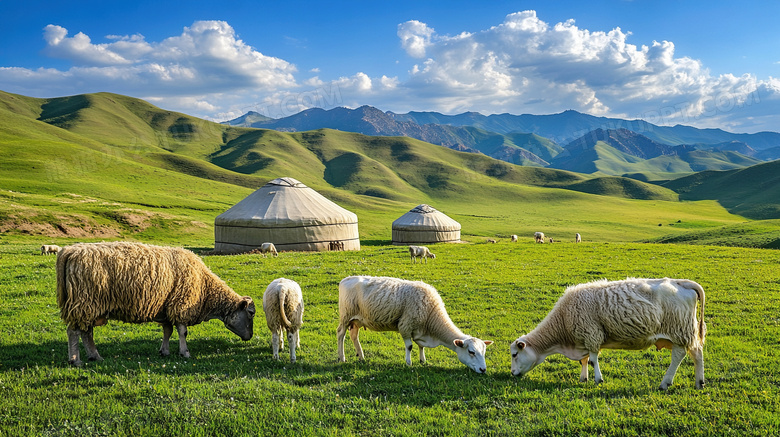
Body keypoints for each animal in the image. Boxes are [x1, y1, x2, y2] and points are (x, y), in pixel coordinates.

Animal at [56, 240, 256, 366]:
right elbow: (183, 332)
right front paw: (185, 353)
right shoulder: (181, 305)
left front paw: (164, 351)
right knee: (74, 332)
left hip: (89, 306)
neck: (206, 289)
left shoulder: (166, 307)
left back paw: (95, 356)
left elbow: (167, 331)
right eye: (251, 313)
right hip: (84, 302)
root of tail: (69, 251)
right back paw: (76, 360)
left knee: (86, 332)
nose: (250, 337)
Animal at [336, 276, 494, 372]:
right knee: (340, 334)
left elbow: (420, 346)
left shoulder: (419, 330)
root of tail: (345, 279)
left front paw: (422, 360)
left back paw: (361, 357)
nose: (483, 370)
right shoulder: (405, 325)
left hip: (357, 320)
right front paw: (408, 363)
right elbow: (410, 346)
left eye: (484, 352)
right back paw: (342, 358)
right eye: (471, 352)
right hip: (346, 315)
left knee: (354, 336)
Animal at [512, 276, 708, 388]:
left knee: (679, 355)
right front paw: (584, 378)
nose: (512, 374)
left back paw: (665, 383)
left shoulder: (591, 333)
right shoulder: (585, 337)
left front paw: (598, 380)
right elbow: (584, 361)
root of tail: (680, 282)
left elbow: (592, 360)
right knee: (697, 353)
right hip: (684, 330)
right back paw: (699, 383)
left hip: (679, 329)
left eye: (514, 354)